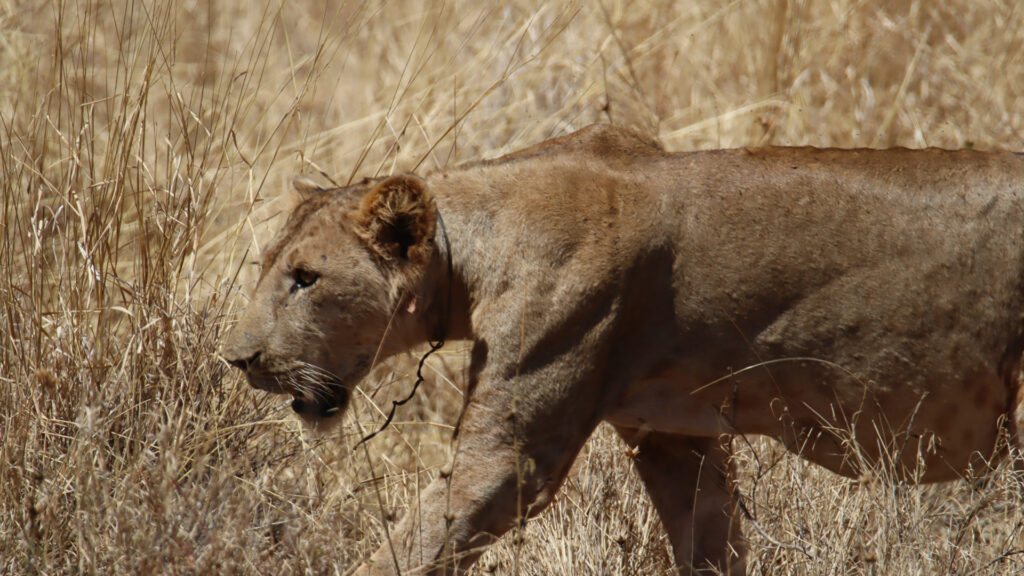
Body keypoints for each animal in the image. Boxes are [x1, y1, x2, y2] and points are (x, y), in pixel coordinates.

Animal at [222, 124, 1024, 575]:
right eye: (268, 267)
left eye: (305, 278)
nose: (238, 359)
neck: (474, 245)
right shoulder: (673, 435)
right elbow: (710, 541)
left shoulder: (515, 449)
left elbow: (416, 539)